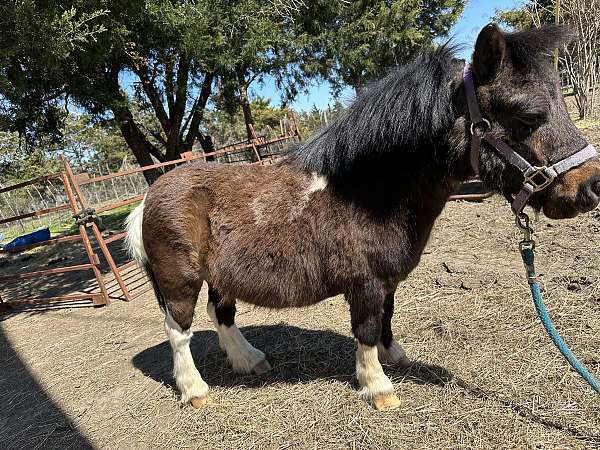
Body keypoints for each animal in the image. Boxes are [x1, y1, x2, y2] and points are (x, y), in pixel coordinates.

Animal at [125, 25, 600, 412]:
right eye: (528, 115)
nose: (590, 186)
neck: (368, 193)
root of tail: (148, 197)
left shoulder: (387, 280)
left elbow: (386, 318)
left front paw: (395, 356)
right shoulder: (366, 283)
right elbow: (367, 328)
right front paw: (378, 387)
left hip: (220, 277)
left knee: (221, 313)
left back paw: (249, 360)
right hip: (179, 281)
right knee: (179, 331)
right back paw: (194, 390)